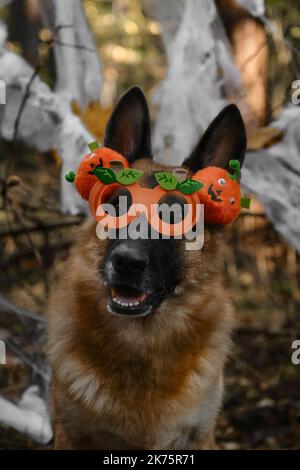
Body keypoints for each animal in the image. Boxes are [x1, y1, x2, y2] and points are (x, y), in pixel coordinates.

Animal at [48, 86, 246, 450]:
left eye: (175, 216)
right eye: (115, 206)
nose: (127, 262)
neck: (142, 344)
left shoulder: (200, 437)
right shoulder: (70, 434)